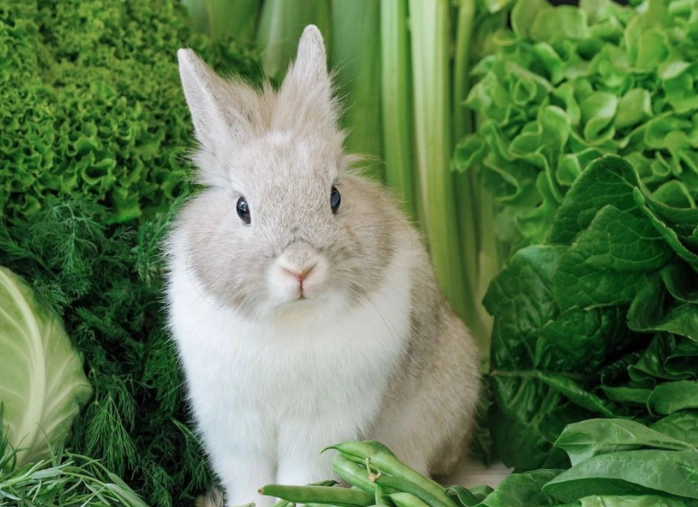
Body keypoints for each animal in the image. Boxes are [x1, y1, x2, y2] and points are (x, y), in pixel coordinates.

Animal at [165, 24, 481, 507]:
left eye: (334, 196)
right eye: (242, 208)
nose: (300, 269)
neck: (290, 319)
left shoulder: (324, 421)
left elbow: (300, 475)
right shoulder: (233, 423)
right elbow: (247, 477)